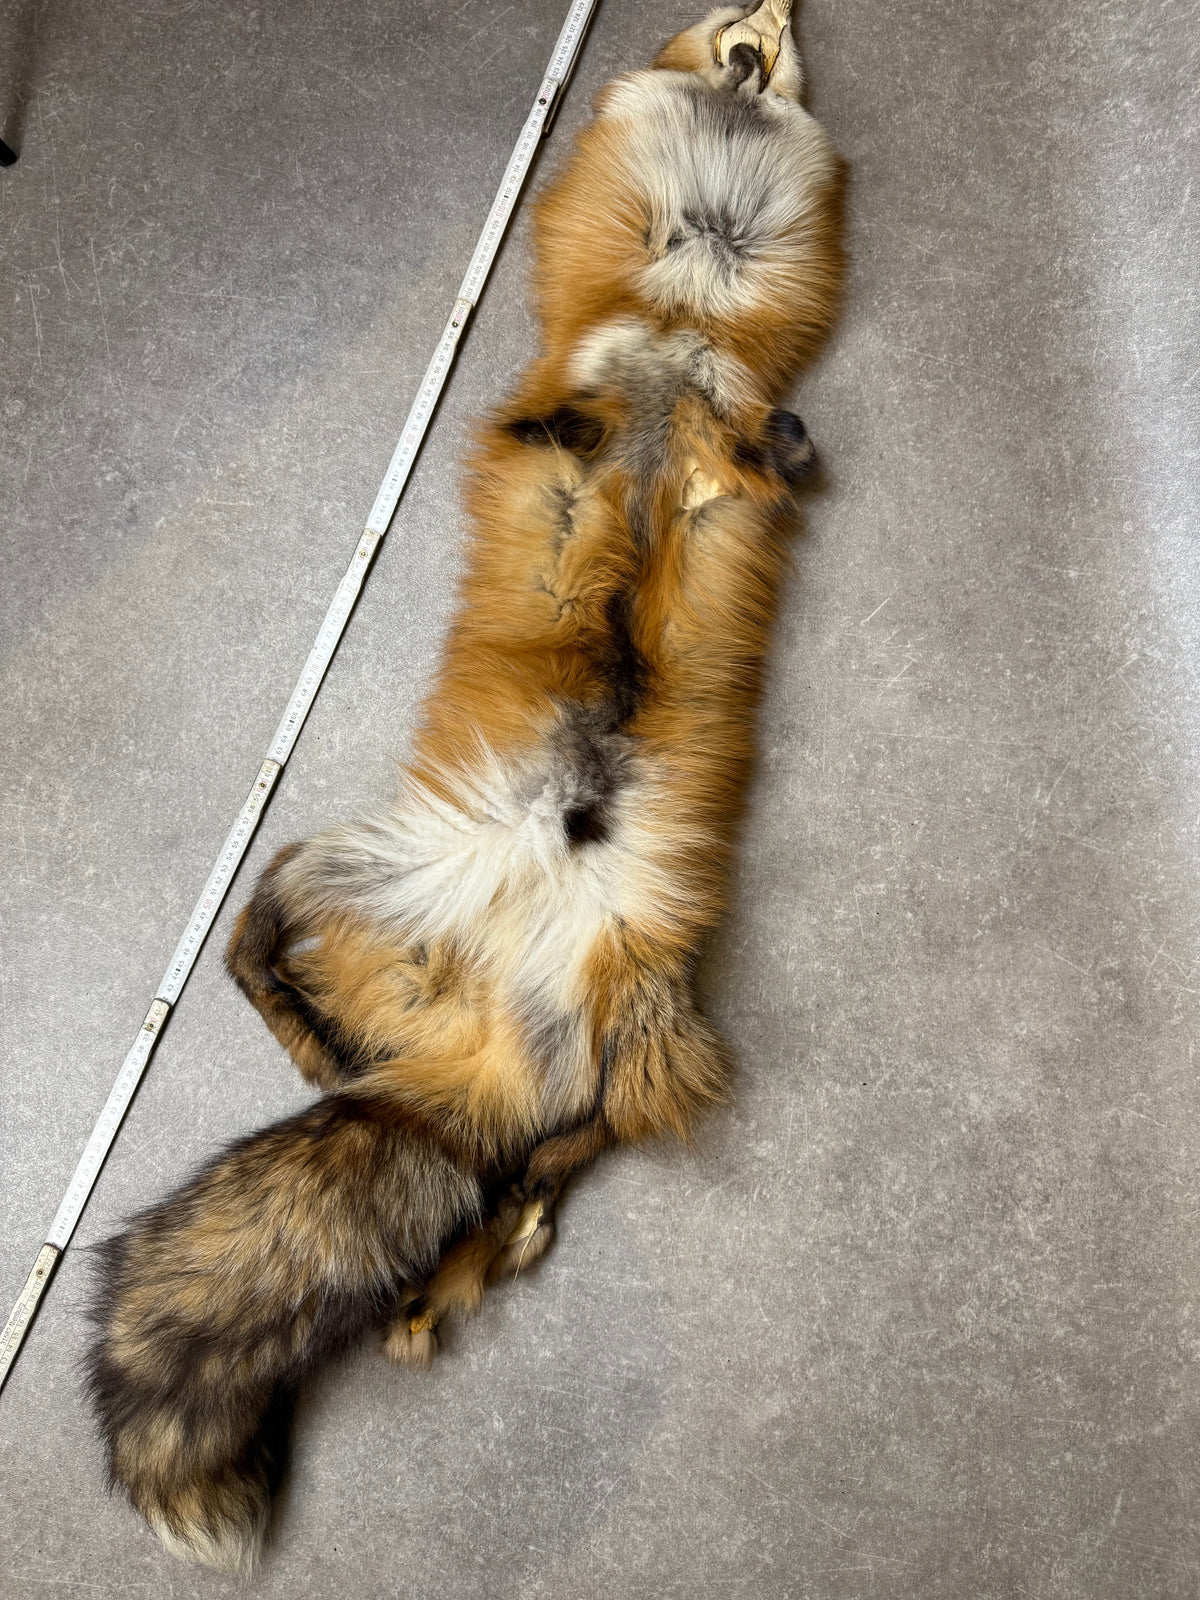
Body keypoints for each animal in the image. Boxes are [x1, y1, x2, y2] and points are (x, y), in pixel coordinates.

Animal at [86, 0, 845, 1570]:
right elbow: (575, 422)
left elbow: (757, 454)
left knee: (540, 1165)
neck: (694, 292)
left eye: (771, 34)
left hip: (618, 1034)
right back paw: (358, 1125)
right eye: (731, 23)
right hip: (363, 860)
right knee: (260, 955)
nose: (766, 36)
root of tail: (482, 1025)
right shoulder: (602, 367)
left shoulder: (737, 425)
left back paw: (460, 1271)